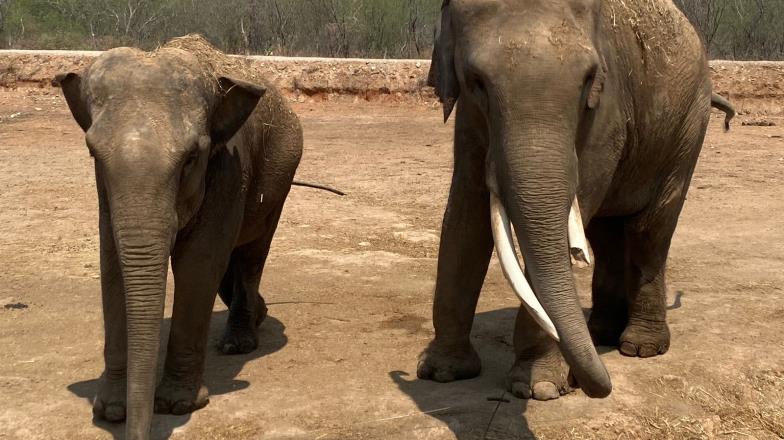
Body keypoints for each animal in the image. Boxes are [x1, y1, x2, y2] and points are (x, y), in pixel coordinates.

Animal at [56, 35, 310, 440]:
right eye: (92, 153)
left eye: (191, 158)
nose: (138, 431)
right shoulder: (106, 195)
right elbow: (113, 264)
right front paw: (111, 410)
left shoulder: (228, 166)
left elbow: (199, 264)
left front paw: (177, 405)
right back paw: (259, 314)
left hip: (280, 177)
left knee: (252, 253)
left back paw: (238, 342)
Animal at [420, 0, 732, 402]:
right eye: (476, 81)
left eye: (588, 79)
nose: (592, 385)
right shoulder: (470, 116)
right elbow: (465, 212)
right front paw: (443, 373)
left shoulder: (607, 111)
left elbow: (579, 198)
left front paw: (540, 387)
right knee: (607, 233)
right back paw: (600, 334)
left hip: (687, 130)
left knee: (650, 230)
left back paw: (640, 348)